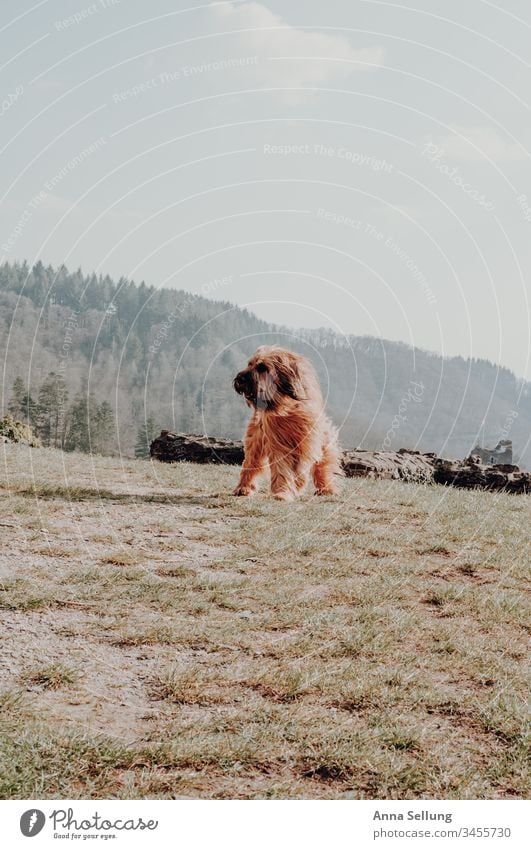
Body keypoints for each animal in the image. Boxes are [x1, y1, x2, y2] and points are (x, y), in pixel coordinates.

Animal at [234, 348, 342, 500]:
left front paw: (325, 488)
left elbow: (321, 462)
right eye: (249, 364)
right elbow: (282, 468)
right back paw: (243, 487)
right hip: (256, 439)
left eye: (262, 367)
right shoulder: (278, 442)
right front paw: (282, 492)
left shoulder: (314, 439)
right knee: (251, 462)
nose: (239, 379)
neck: (287, 408)